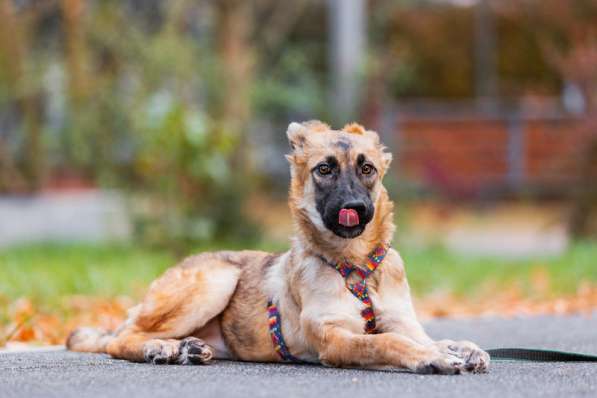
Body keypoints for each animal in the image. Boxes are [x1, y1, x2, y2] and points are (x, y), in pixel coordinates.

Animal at [67, 120, 488, 374]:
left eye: (366, 168)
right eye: (324, 169)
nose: (355, 207)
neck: (355, 268)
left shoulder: (403, 320)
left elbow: (426, 336)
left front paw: (460, 347)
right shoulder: (335, 339)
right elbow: (387, 342)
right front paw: (430, 356)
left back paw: (184, 347)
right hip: (217, 279)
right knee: (120, 339)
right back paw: (160, 348)